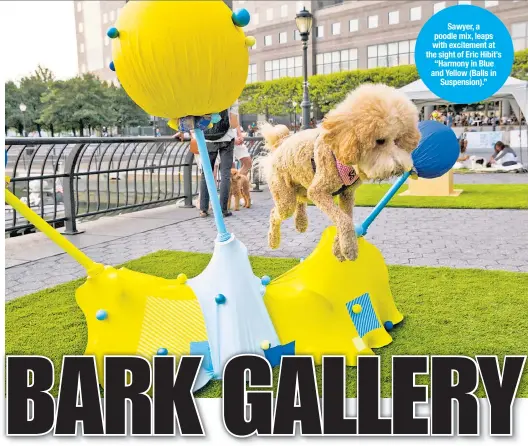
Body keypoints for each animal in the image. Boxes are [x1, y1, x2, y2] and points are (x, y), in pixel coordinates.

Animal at [258, 83, 420, 262]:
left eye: (398, 140)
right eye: (379, 141)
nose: (399, 167)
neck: (341, 155)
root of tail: (279, 144)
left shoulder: (347, 194)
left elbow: (345, 217)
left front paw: (338, 248)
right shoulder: (319, 192)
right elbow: (344, 219)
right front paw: (349, 249)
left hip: (302, 186)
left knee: (300, 200)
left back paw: (301, 223)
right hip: (285, 195)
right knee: (276, 212)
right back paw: (273, 241)